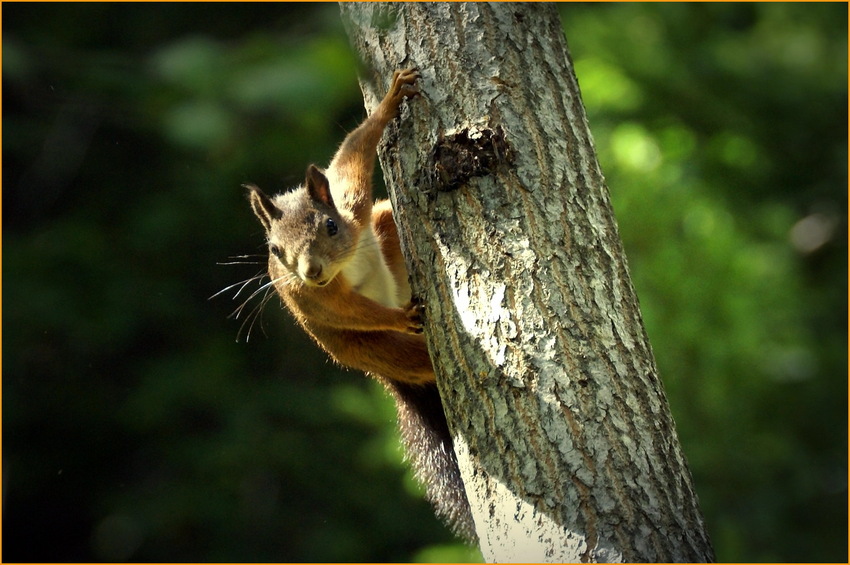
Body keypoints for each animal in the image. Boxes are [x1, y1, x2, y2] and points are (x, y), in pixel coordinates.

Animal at [242, 69, 474, 540]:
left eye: (331, 225)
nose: (311, 271)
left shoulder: (352, 199)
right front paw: (398, 317)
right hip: (376, 352)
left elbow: (353, 152)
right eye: (274, 250)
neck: (343, 266)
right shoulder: (311, 299)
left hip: (382, 222)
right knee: (412, 358)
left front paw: (389, 102)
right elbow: (351, 312)